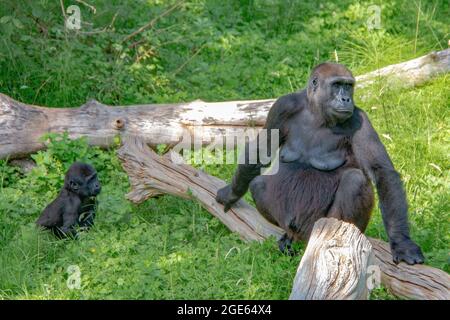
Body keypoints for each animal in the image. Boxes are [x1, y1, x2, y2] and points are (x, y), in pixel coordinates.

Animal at [216, 62, 424, 264]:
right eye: (337, 85)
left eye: (349, 86)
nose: (346, 99)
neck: (317, 113)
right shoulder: (283, 106)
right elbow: (260, 152)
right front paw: (231, 194)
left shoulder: (359, 118)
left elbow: (381, 171)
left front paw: (402, 242)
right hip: (294, 227)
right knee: (258, 184)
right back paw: (289, 237)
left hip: (316, 229)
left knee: (354, 180)